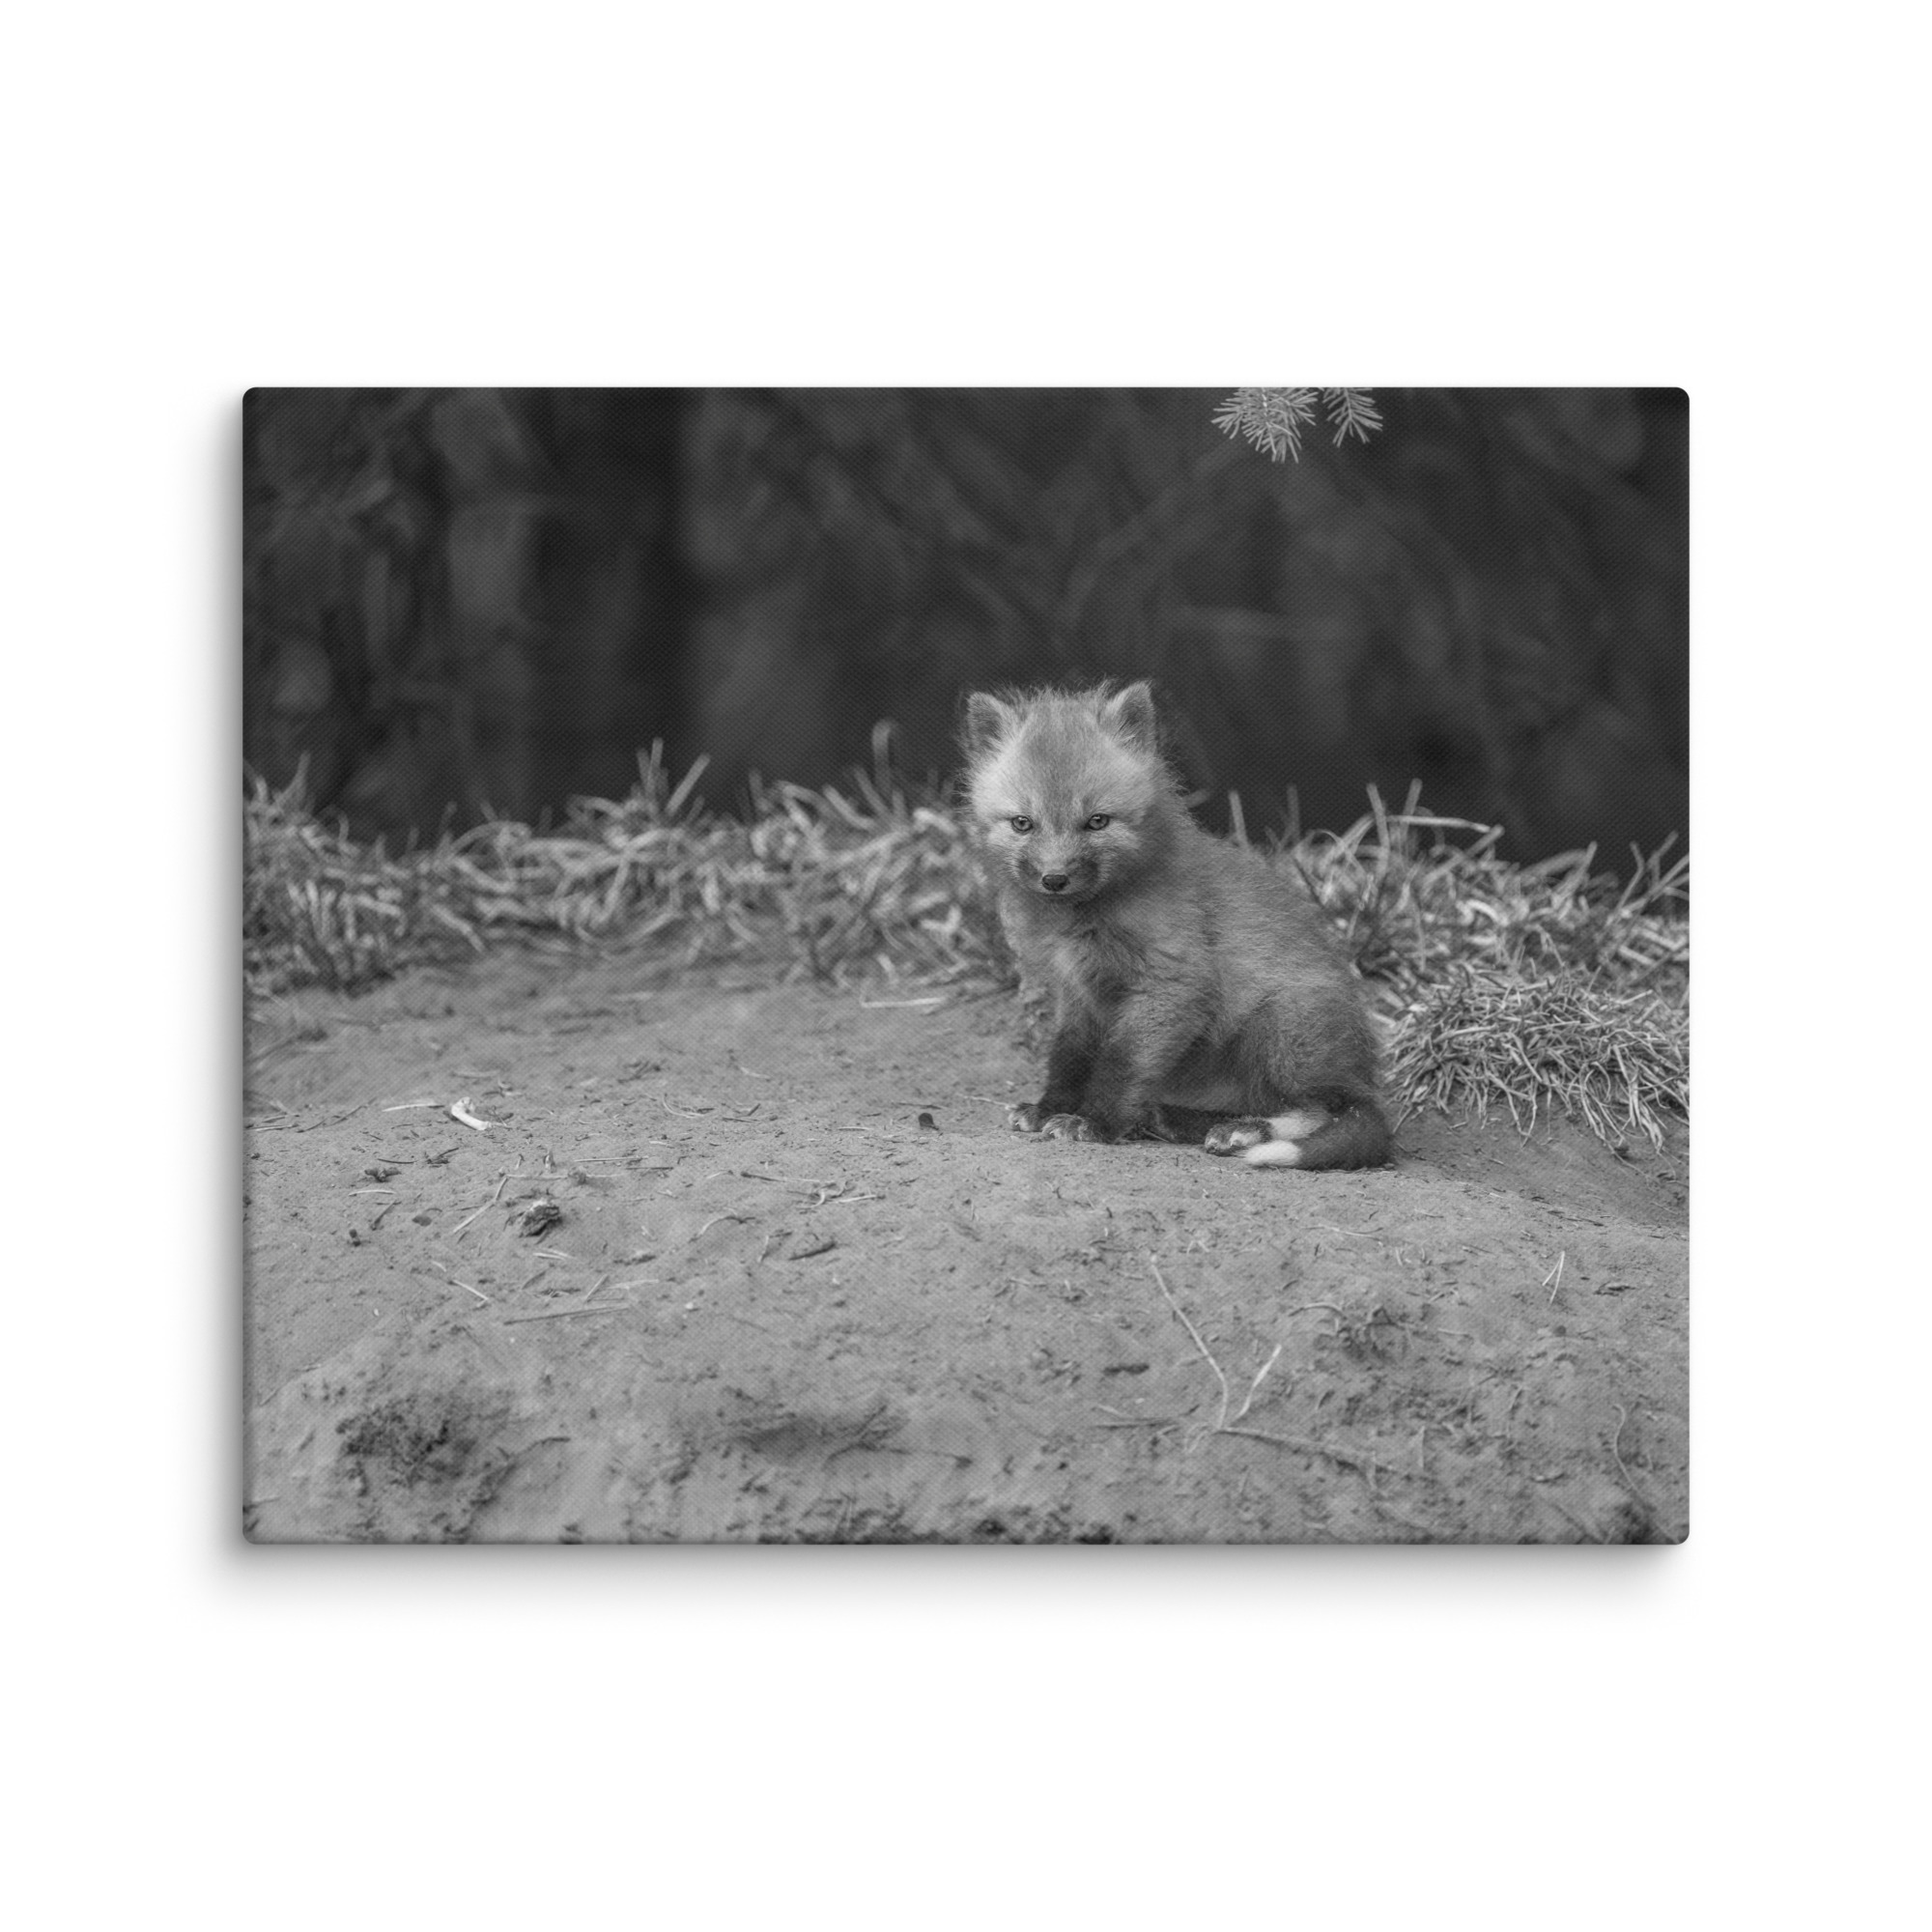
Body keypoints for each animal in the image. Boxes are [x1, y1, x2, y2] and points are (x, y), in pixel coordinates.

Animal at [961, 680, 1391, 1171]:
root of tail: (1362, 1072)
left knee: (1327, 1109)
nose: (1055, 879)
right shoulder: (1078, 992)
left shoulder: (1171, 983)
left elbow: (1122, 1063)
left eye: (1097, 822)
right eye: (1022, 823)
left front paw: (1094, 1122)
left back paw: (1244, 1132)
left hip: (1281, 1028)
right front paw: (1050, 1108)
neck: (1087, 920)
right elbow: (1069, 1057)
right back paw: (1174, 1119)